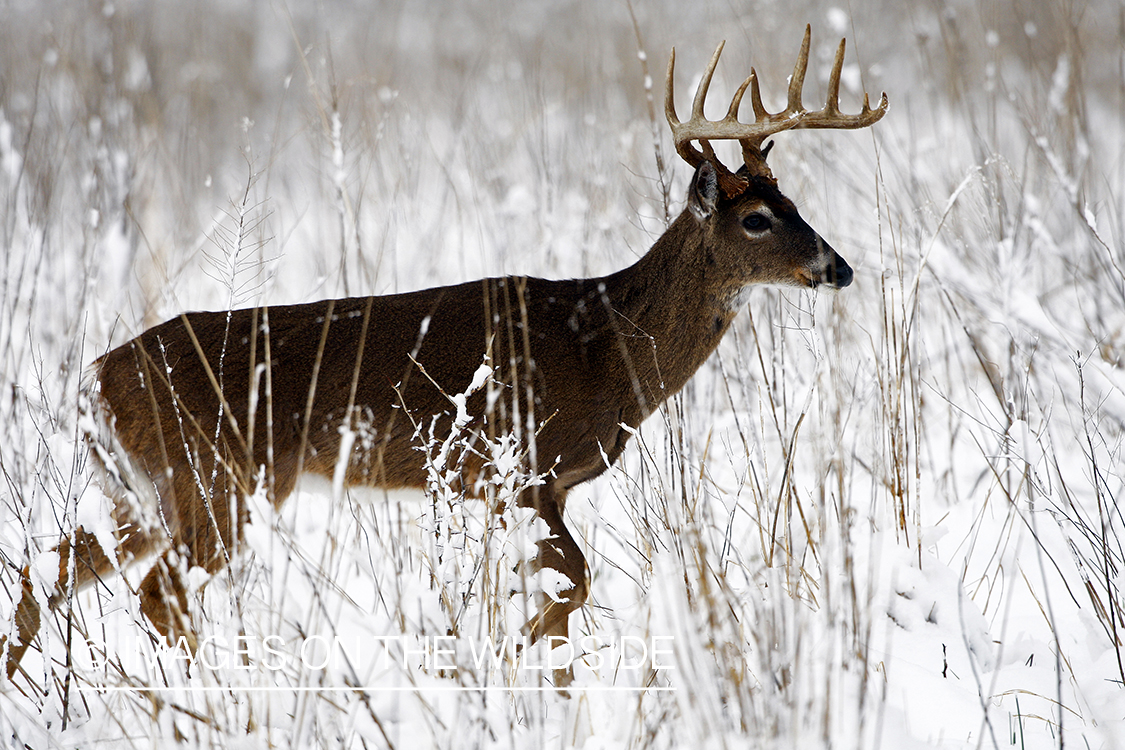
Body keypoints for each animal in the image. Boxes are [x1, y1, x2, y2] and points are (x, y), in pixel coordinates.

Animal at [6, 24, 886, 679]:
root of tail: (97, 374)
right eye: (756, 221)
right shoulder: (521, 465)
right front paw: (510, 649)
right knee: (157, 593)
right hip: (211, 475)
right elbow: (576, 583)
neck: (606, 348)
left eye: (793, 201)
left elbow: (560, 594)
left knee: (45, 569)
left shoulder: (507, 488)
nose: (836, 268)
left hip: (141, 485)